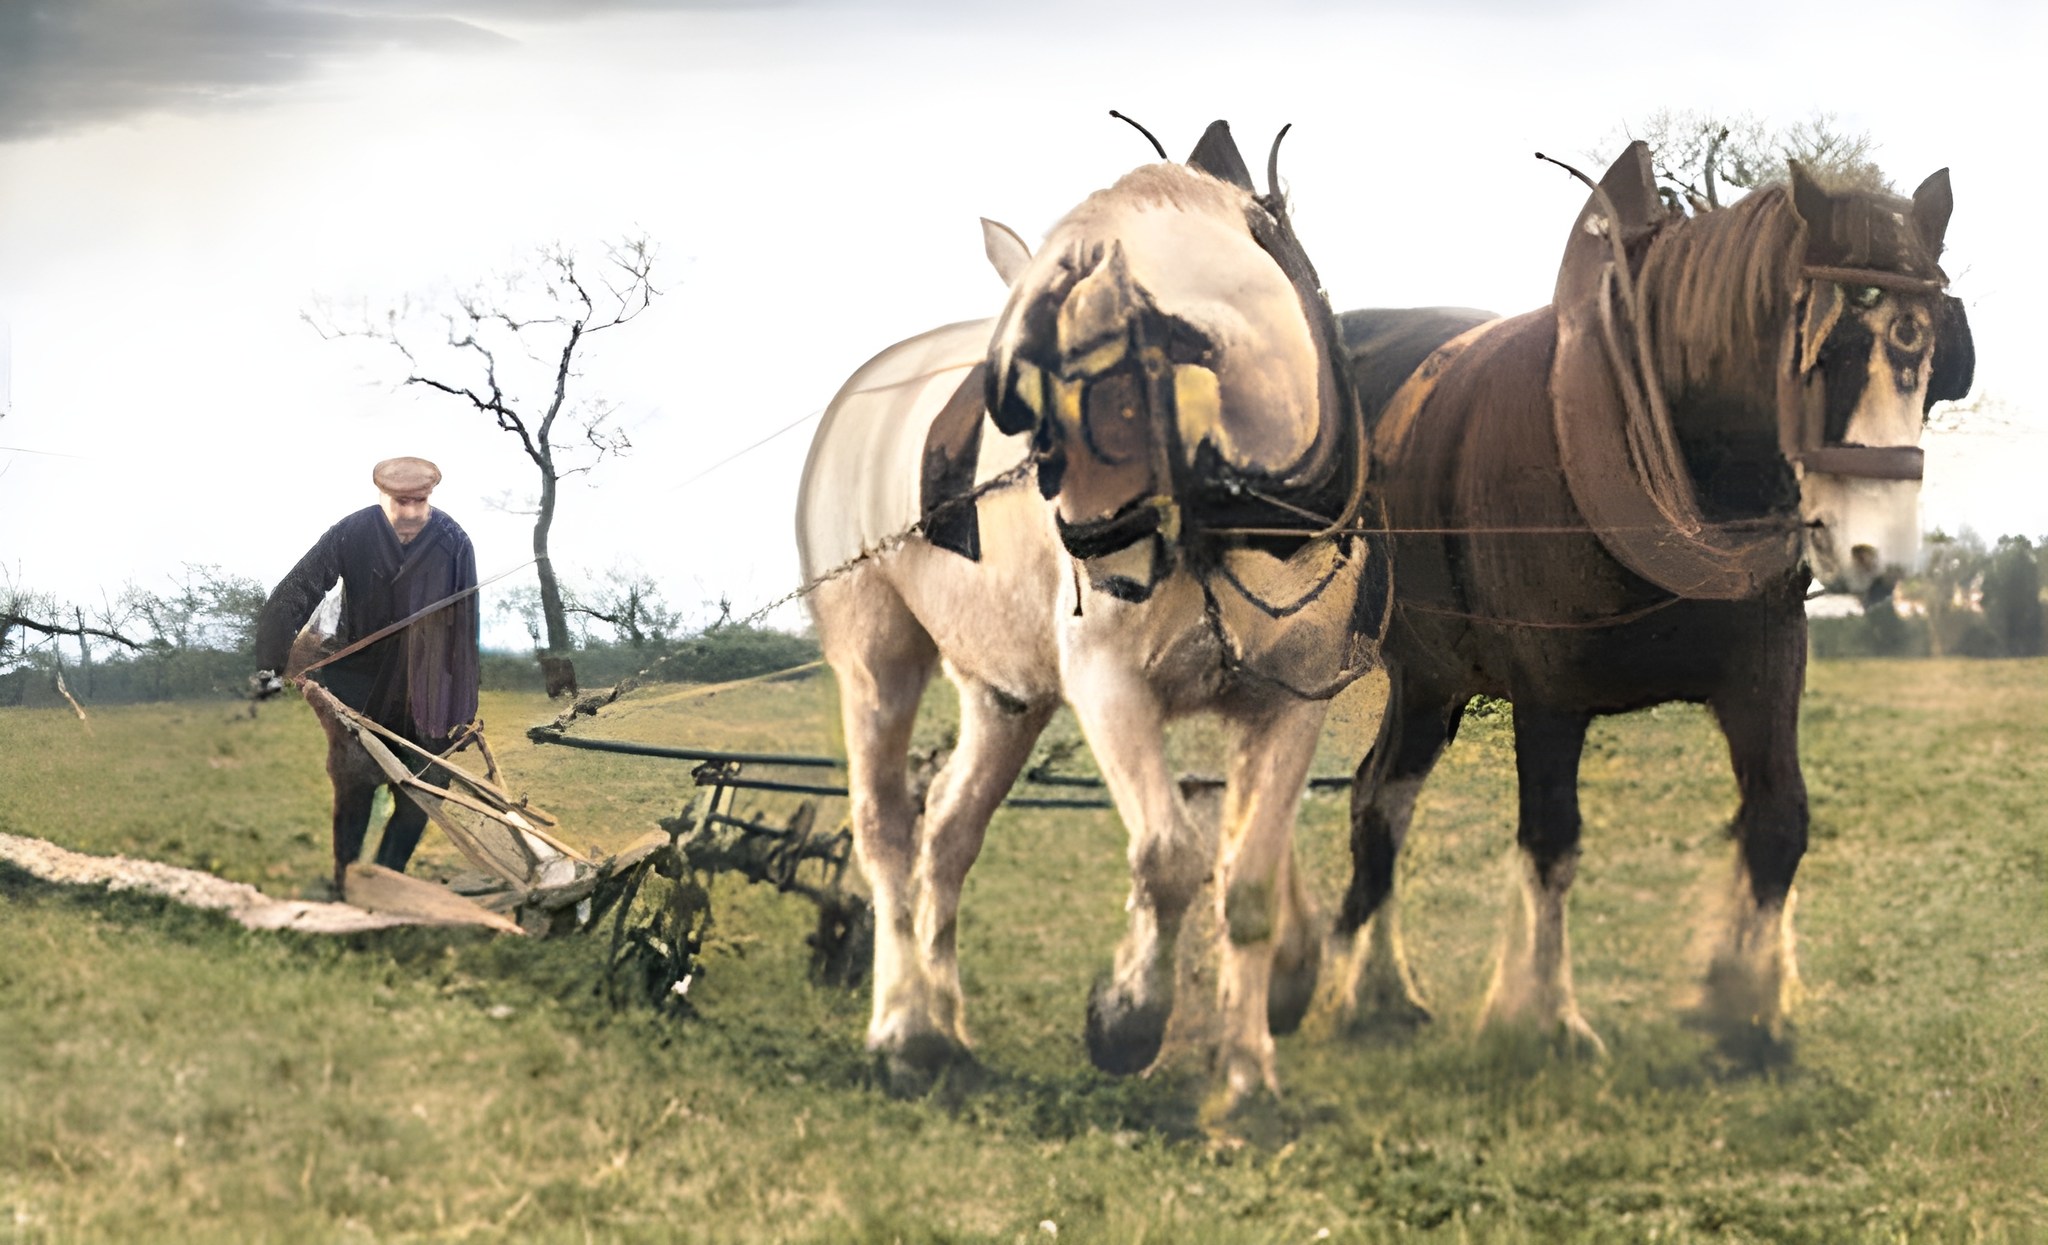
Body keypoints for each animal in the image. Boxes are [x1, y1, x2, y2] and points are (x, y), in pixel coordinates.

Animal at [790, 123, 1384, 1097]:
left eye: (1108, 392)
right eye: (1024, 413)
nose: (1102, 570)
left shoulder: (1291, 697)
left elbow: (1249, 882)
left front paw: (1248, 1072)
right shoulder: (1110, 684)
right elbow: (1170, 856)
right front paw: (1127, 1016)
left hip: (1007, 697)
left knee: (948, 833)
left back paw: (946, 1020)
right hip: (877, 660)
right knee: (886, 832)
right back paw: (904, 1025)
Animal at [1335, 150, 1974, 1056]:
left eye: (1939, 356)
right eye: (1828, 347)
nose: (1874, 552)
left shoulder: (1767, 668)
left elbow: (1780, 821)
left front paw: (1744, 1003)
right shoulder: (1546, 692)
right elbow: (1551, 840)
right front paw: (1544, 1012)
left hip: (1430, 678)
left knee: (1379, 795)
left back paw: (1382, 986)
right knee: (1368, 800)